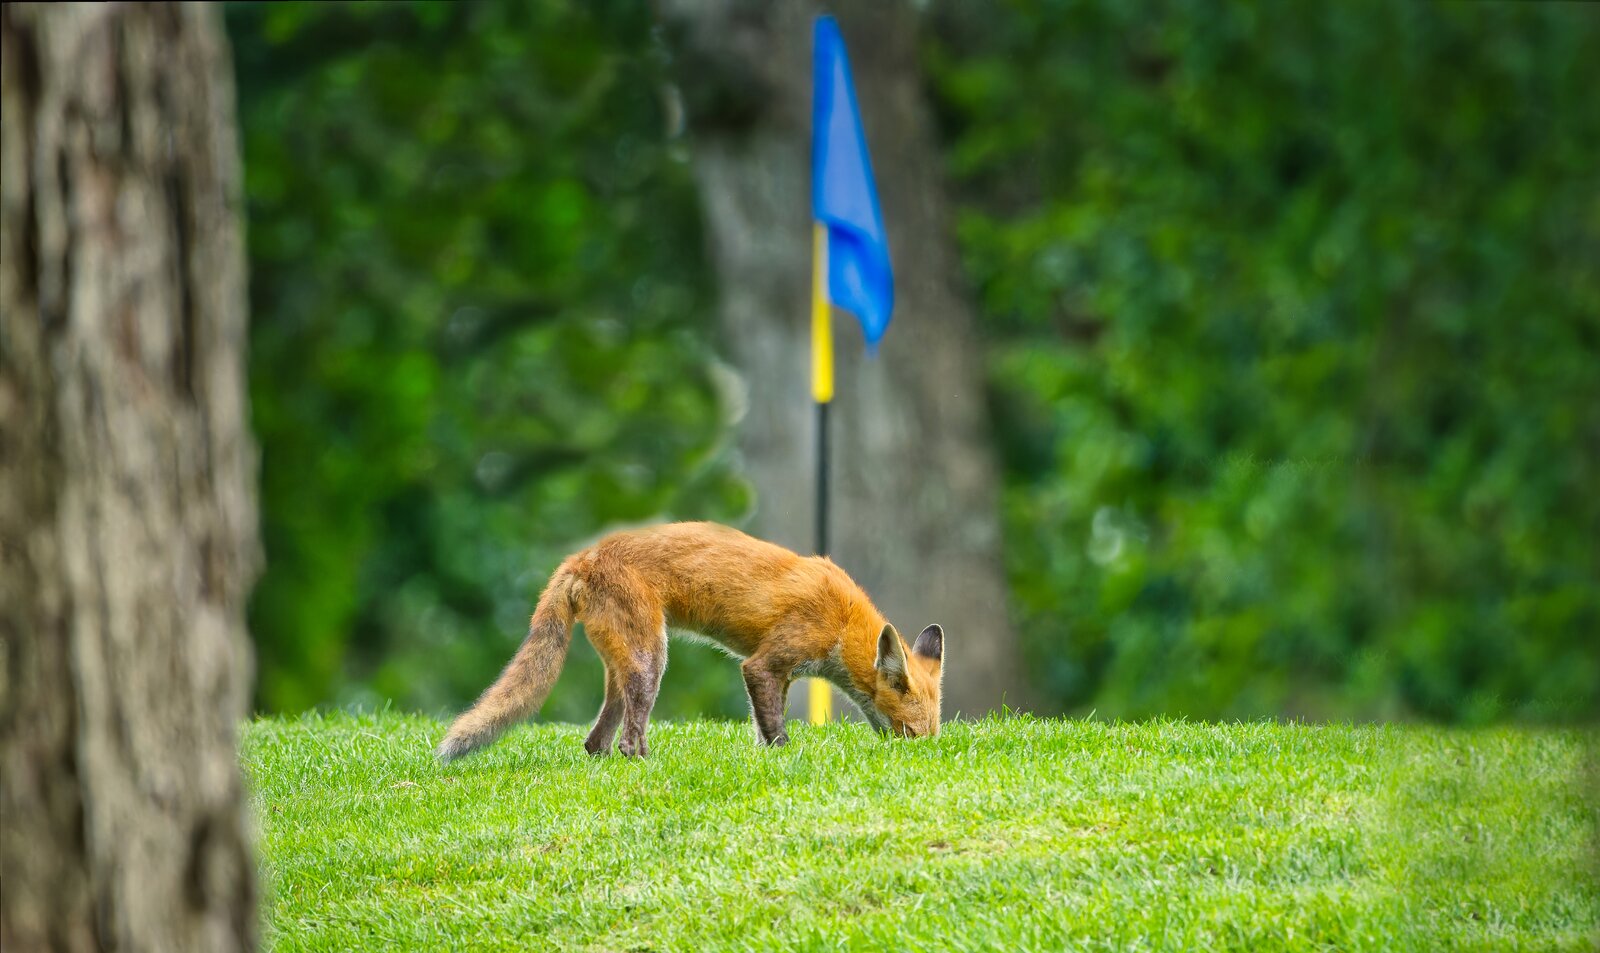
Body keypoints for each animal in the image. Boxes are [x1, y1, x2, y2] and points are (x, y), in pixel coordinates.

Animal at [436, 521, 944, 761]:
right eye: (912, 732)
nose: (923, 754)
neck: (842, 620)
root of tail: (583, 556)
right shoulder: (766, 663)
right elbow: (776, 731)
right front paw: (786, 758)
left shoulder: (777, 675)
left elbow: (762, 725)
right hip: (649, 663)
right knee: (628, 740)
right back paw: (644, 764)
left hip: (622, 669)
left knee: (596, 742)